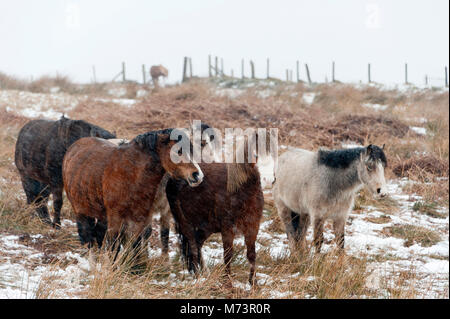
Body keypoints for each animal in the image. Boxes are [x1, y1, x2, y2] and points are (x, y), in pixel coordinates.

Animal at [62, 127, 203, 255]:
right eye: (178, 151)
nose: (198, 175)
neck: (131, 174)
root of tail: (74, 147)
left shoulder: (139, 218)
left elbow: (135, 246)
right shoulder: (116, 218)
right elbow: (114, 246)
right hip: (81, 211)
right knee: (87, 240)